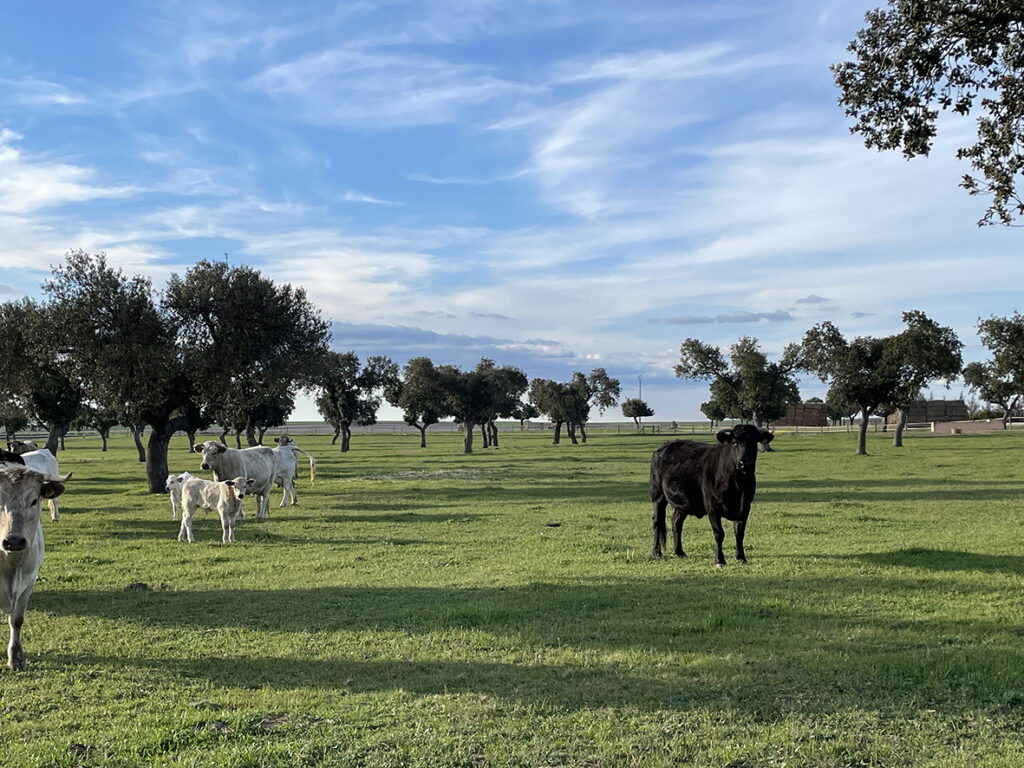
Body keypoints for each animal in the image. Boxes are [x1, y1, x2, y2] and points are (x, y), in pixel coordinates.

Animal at [651, 423, 770, 569]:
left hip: (682, 503)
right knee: (657, 522)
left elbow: (739, 532)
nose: (744, 463)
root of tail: (664, 447)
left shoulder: (745, 507)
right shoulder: (712, 507)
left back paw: (679, 552)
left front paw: (741, 557)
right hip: (658, 495)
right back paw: (656, 553)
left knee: (676, 522)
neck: (737, 485)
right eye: (735, 442)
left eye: (754, 442)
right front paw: (719, 560)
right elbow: (719, 533)